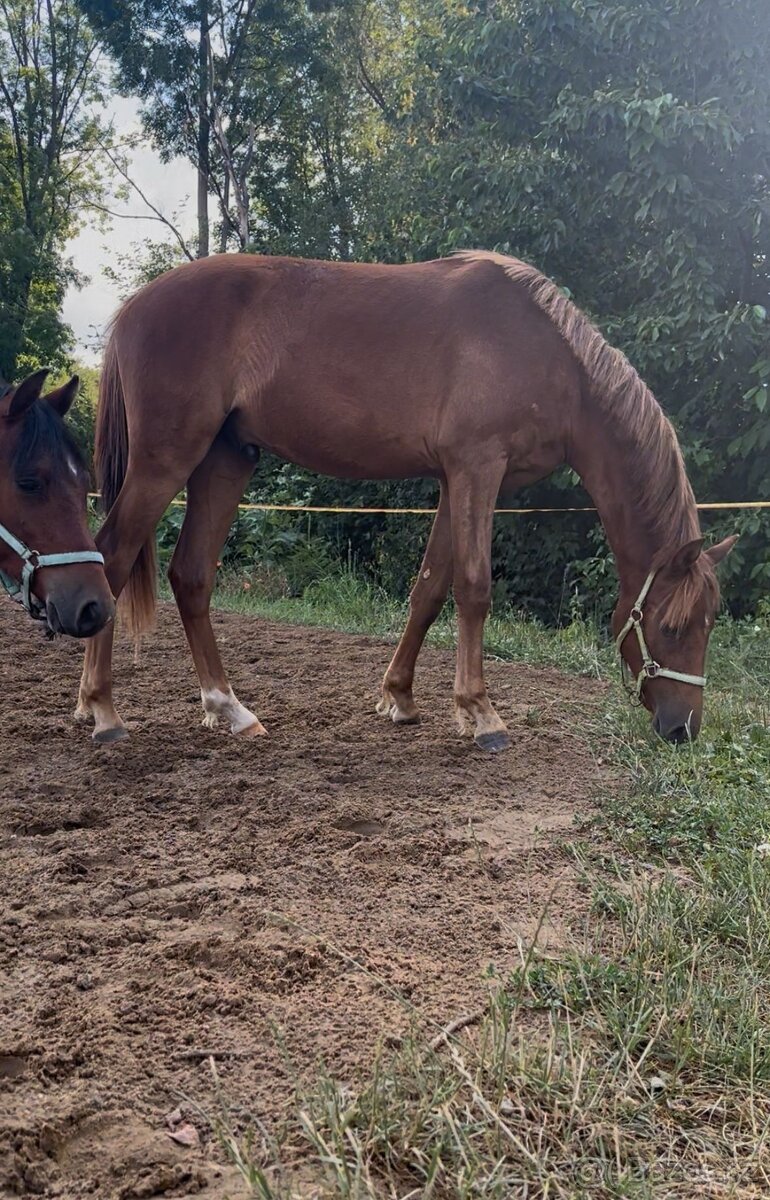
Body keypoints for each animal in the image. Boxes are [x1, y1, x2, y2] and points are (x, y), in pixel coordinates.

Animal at [77, 251, 736, 748]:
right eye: (673, 626)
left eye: (709, 623)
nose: (683, 729)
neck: (545, 354)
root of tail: (134, 308)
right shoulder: (478, 467)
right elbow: (474, 587)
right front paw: (481, 714)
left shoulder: (454, 479)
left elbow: (429, 589)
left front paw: (400, 698)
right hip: (167, 460)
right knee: (112, 557)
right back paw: (102, 710)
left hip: (225, 460)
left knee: (190, 575)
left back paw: (227, 708)